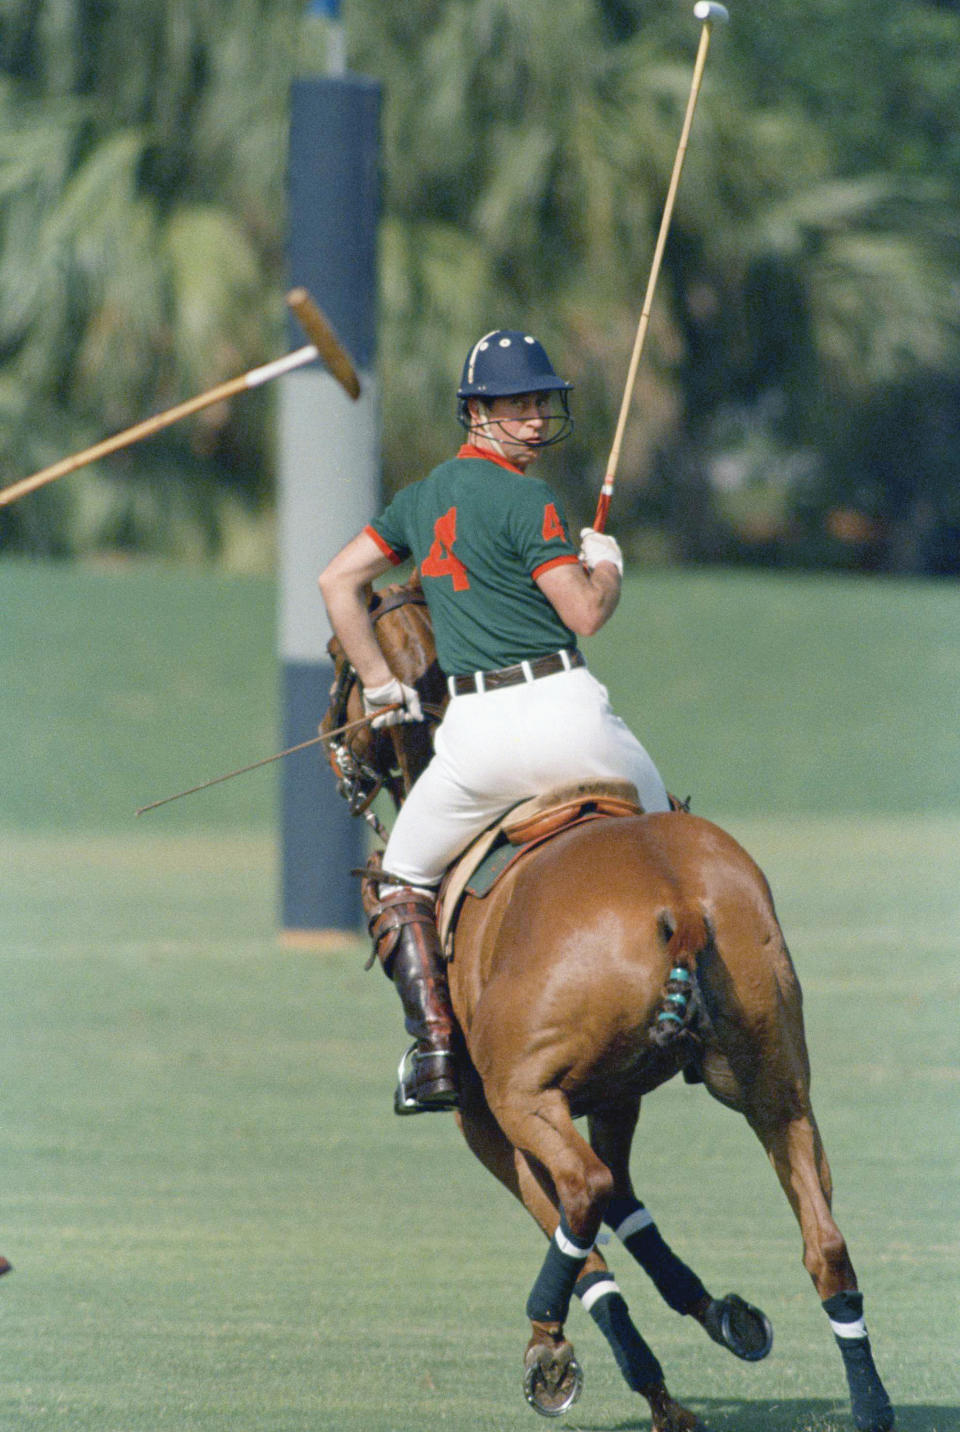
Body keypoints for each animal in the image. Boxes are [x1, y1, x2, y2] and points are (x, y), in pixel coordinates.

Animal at [320, 572, 894, 1432]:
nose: (336, 753)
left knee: (584, 1192)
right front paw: (723, 1315)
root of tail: (680, 899)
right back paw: (869, 1401)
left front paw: (582, 1361)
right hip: (776, 1082)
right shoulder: (617, 1094)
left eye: (336, 658)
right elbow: (626, 1199)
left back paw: (557, 1344)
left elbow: (585, 1218)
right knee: (823, 1241)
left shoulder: (489, 1119)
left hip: (523, 1094)